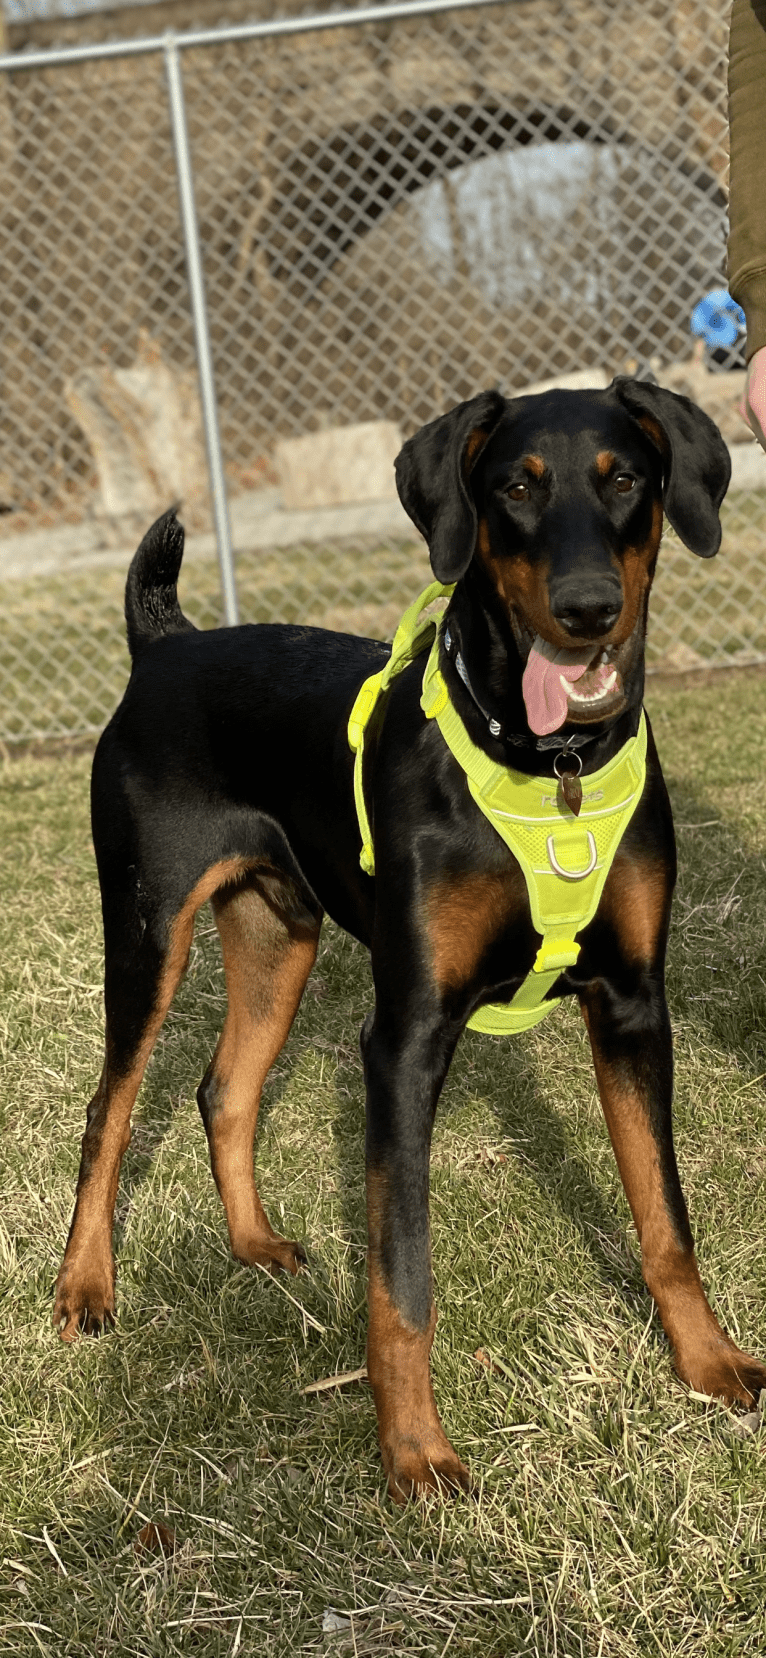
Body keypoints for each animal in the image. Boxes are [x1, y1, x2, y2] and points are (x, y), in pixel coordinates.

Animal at [53, 379, 766, 1505]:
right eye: (515, 487)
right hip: (146, 929)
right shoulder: (406, 1038)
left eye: (625, 479)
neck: (551, 762)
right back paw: (86, 1286)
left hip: (278, 934)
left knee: (226, 1087)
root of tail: (163, 642)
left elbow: (666, 1218)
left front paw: (707, 1361)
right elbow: (402, 1280)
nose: (587, 608)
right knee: (109, 1109)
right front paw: (415, 1452)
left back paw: (252, 1244)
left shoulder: (633, 1005)